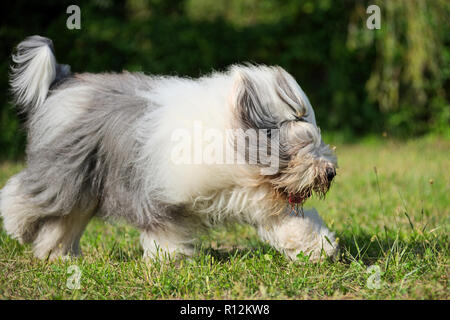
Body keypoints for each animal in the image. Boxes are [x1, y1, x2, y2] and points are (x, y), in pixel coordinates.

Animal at [0, 37, 340, 262]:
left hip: (82, 184)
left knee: (64, 220)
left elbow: (289, 224)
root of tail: (65, 82)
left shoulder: (258, 197)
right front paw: (171, 262)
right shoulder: (159, 192)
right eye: (300, 146)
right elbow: (164, 230)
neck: (229, 145)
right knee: (23, 193)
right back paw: (17, 228)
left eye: (317, 141)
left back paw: (56, 256)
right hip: (64, 169)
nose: (330, 172)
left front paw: (320, 247)